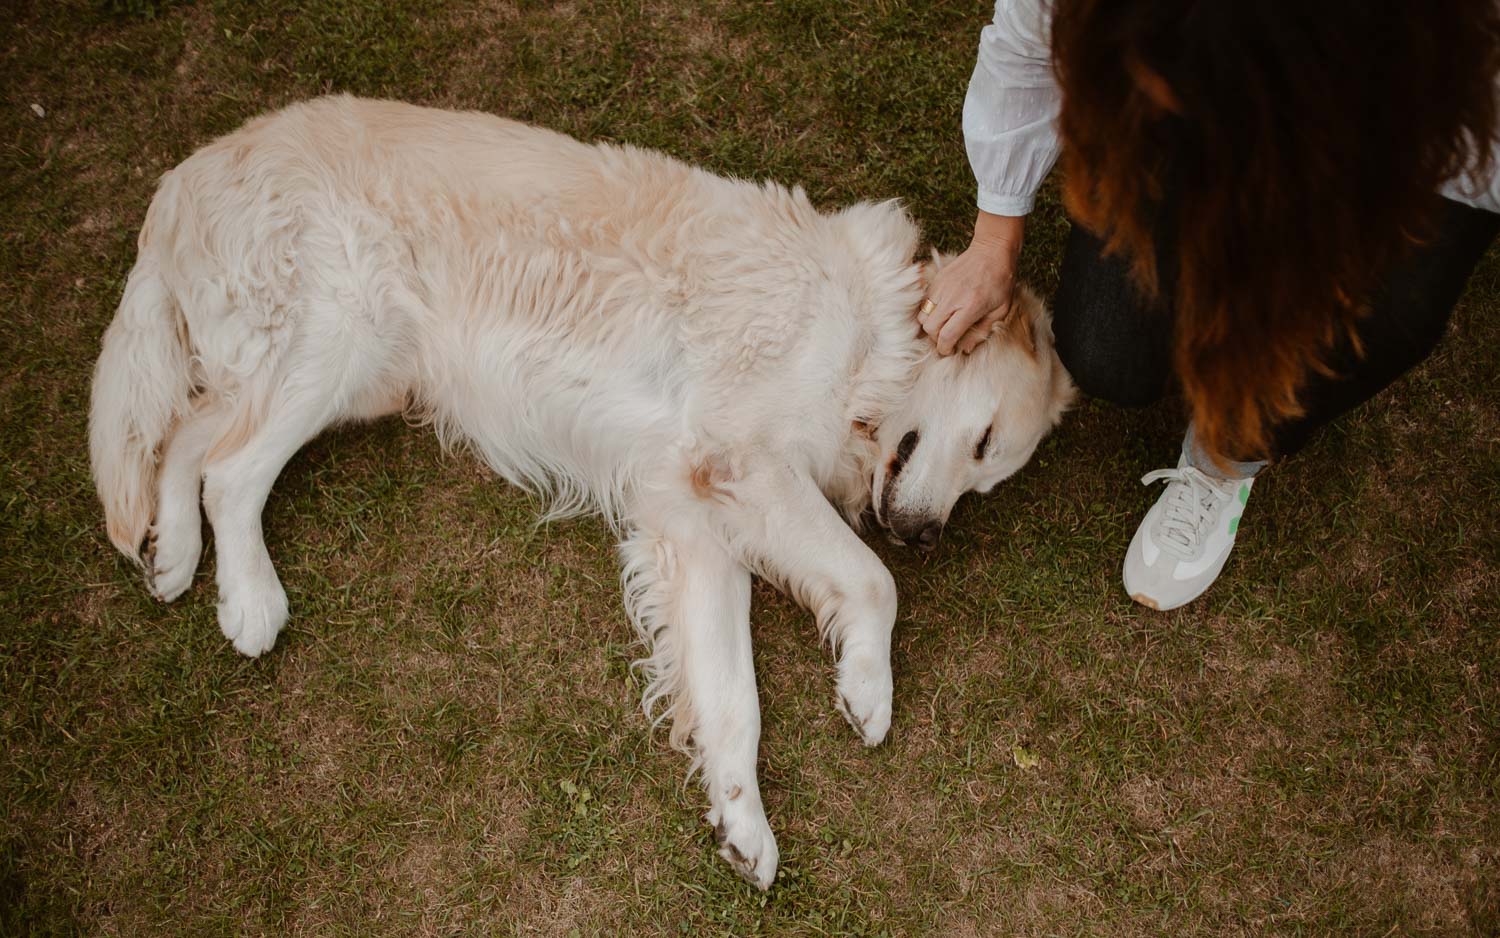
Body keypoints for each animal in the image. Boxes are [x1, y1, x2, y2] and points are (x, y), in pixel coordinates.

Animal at [87, 96, 1074, 894]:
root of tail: (192, 170)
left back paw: (171, 558)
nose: (925, 536)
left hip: (361, 377)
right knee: (229, 468)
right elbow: (870, 580)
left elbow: (732, 697)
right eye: (983, 440)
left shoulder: (696, 523)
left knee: (187, 435)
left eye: (987, 473)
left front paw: (741, 820)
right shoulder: (746, 463)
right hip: (341, 338)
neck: (874, 331)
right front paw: (869, 687)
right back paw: (249, 600)